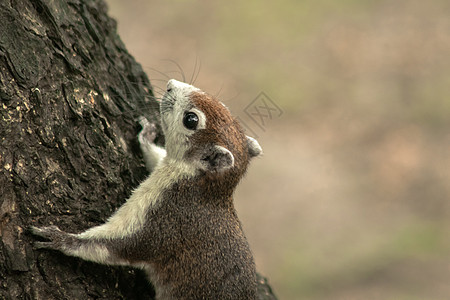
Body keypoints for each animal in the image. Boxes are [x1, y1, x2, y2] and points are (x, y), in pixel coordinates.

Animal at [29, 79, 262, 300]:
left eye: (191, 120)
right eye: (224, 107)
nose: (170, 85)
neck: (205, 186)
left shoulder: (166, 219)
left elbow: (120, 246)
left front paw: (62, 239)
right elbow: (155, 156)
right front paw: (146, 137)